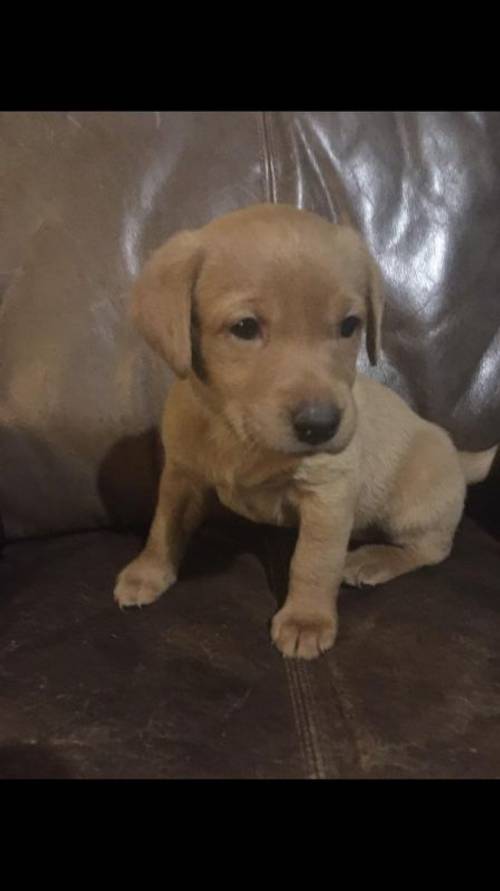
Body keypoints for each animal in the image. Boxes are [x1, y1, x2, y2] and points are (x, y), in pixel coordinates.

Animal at [114, 206, 496, 660]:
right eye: (245, 327)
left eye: (349, 325)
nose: (322, 425)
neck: (236, 433)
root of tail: (458, 458)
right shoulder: (181, 476)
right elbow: (163, 526)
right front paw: (148, 571)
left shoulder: (327, 496)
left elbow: (314, 562)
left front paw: (306, 619)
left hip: (413, 505)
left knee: (432, 548)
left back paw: (373, 560)